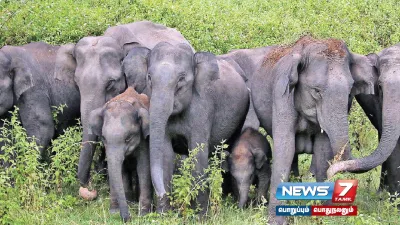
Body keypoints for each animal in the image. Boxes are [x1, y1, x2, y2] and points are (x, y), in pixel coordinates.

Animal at [88, 87, 151, 222]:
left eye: (128, 139)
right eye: (104, 138)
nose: (128, 218)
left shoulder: (144, 139)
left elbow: (143, 167)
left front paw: (144, 214)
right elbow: (119, 169)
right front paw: (114, 212)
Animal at [125, 41, 250, 213]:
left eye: (181, 79)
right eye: (149, 77)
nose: (162, 194)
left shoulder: (202, 108)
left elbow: (198, 153)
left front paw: (200, 215)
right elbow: (165, 154)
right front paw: (164, 214)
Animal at [252, 36, 380, 224]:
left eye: (350, 91)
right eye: (316, 91)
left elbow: (322, 150)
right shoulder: (281, 95)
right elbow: (285, 148)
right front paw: (276, 221)